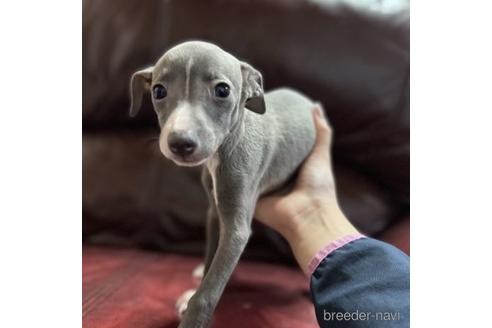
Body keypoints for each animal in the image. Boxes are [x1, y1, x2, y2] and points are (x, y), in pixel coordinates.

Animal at [130, 41, 316, 328]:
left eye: (222, 90)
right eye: (158, 91)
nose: (180, 143)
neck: (224, 150)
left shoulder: (236, 228)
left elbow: (209, 289)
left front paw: (193, 318)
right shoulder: (214, 212)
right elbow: (211, 258)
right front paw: (197, 282)